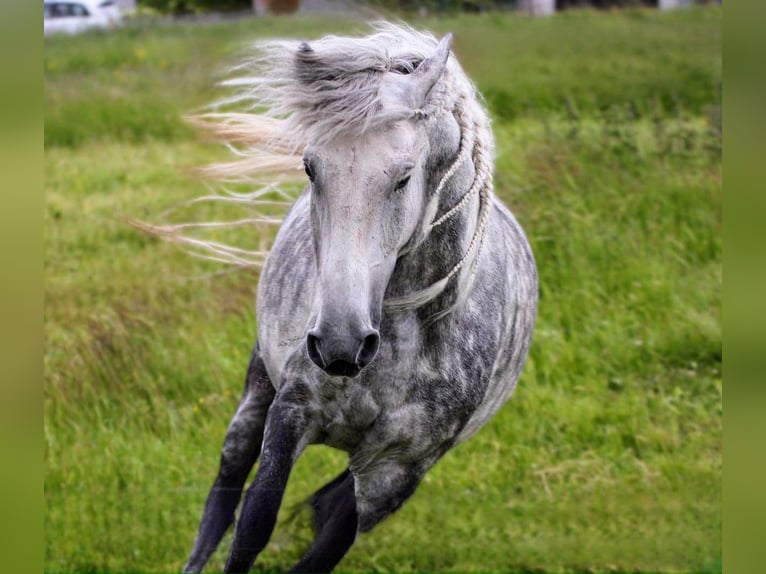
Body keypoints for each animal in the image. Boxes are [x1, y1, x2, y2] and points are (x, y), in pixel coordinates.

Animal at [182, 23, 536, 574]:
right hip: (256, 395)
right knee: (224, 491)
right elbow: (252, 525)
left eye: (404, 176)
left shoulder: (396, 467)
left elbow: (327, 547)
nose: (339, 343)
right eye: (310, 168)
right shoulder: (291, 412)